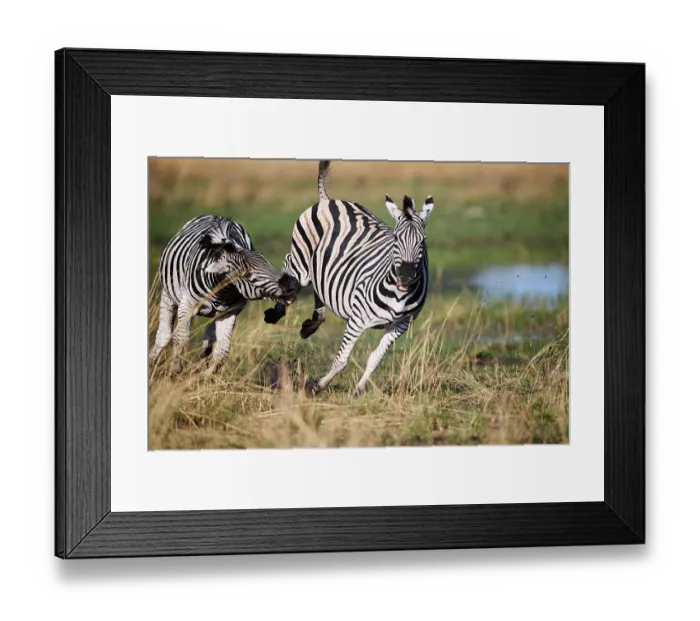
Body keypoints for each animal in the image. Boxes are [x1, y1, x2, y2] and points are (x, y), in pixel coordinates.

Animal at [150, 215, 299, 374]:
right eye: (246, 274)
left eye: (267, 263)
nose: (292, 284)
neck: (222, 292)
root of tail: (213, 215)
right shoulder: (187, 304)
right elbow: (181, 338)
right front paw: (176, 370)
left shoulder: (229, 312)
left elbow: (223, 351)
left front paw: (205, 375)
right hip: (168, 295)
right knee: (164, 333)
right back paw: (152, 364)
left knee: (209, 338)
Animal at [264, 161, 434, 395]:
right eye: (395, 239)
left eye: (422, 241)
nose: (406, 277)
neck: (400, 295)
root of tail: (328, 200)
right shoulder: (357, 320)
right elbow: (342, 360)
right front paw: (317, 386)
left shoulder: (400, 325)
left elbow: (375, 359)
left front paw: (358, 391)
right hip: (301, 263)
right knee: (289, 270)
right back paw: (277, 312)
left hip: (322, 268)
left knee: (319, 290)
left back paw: (311, 325)